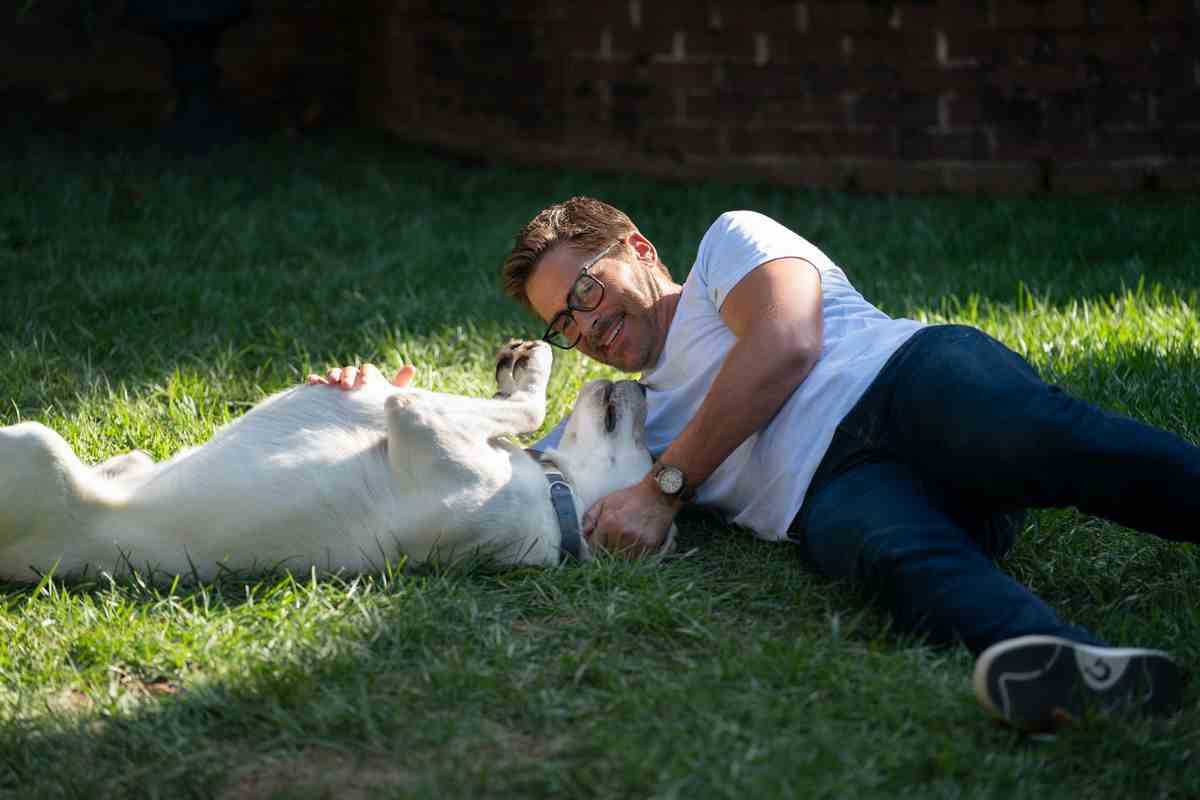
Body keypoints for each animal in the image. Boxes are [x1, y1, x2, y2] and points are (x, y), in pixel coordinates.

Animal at [0, 340, 667, 582]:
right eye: (651, 450)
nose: (643, 386)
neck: (558, 499)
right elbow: (507, 408)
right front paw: (514, 368)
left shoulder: (417, 424)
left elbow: (519, 408)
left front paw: (531, 371)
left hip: (36, 446)